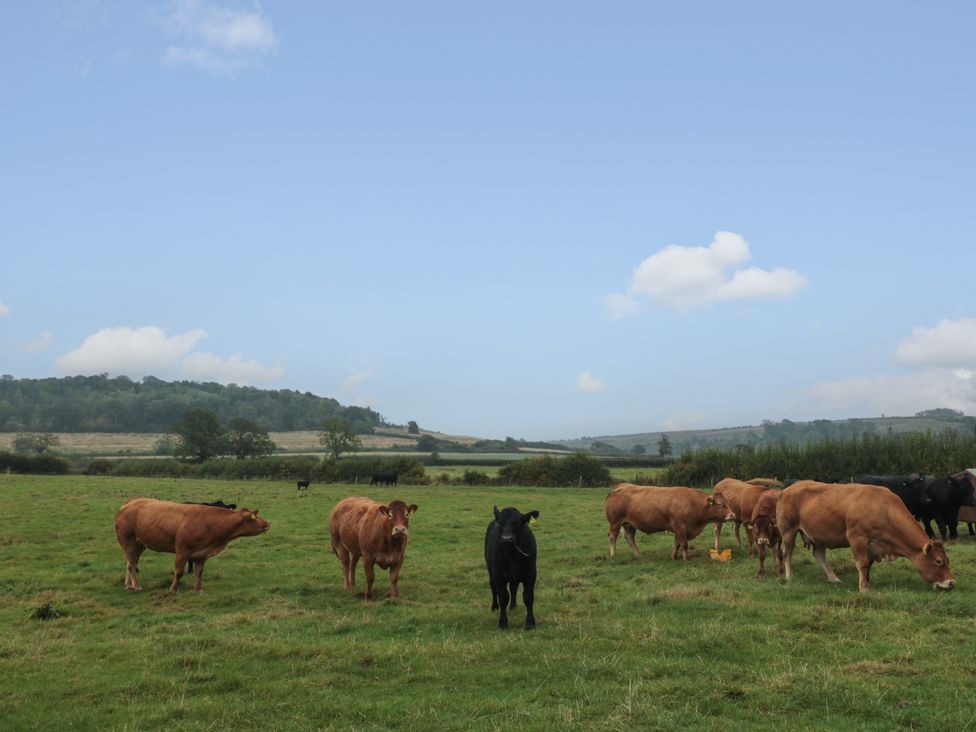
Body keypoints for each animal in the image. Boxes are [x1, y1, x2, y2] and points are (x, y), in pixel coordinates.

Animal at [115, 498, 270, 596]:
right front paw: (173, 590)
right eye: (255, 518)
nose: (268, 522)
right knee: (131, 565)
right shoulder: (182, 550)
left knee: (129, 562)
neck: (209, 522)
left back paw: (128, 585)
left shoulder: (202, 554)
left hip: (139, 544)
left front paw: (198, 589)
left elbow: (199, 572)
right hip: (128, 541)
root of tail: (129, 503)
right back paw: (136, 586)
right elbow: (179, 572)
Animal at [608, 486, 736, 560]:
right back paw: (613, 554)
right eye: (720, 504)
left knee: (630, 538)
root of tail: (620, 487)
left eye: (728, 502)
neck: (693, 503)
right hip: (615, 522)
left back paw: (638, 554)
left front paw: (674, 557)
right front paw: (686, 559)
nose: (732, 515)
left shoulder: (679, 530)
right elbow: (684, 544)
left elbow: (677, 544)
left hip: (629, 524)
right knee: (613, 537)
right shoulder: (680, 527)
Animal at [772, 480, 956, 596]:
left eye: (948, 560)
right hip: (788, 531)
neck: (883, 509)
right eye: (938, 561)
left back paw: (833, 578)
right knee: (787, 553)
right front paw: (863, 587)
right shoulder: (857, 537)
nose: (951, 583)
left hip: (819, 534)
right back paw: (789, 576)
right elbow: (862, 564)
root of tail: (786, 490)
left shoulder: (872, 546)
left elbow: (868, 565)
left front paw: (867, 582)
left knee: (819, 555)